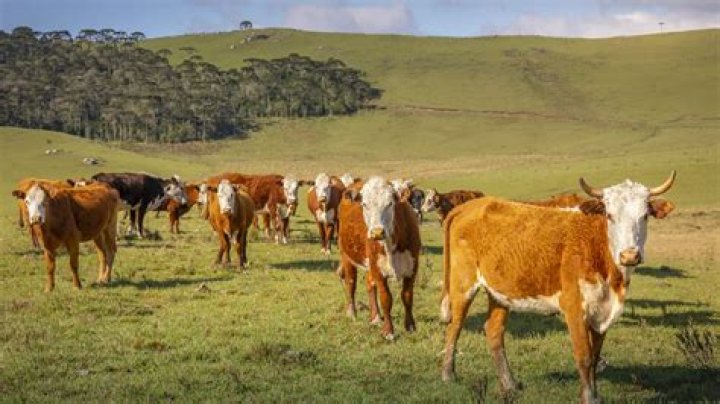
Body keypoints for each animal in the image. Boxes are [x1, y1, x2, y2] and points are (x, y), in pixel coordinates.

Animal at [337, 176, 422, 340]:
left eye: (390, 203)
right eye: (364, 204)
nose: (376, 232)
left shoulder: (412, 267)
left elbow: (407, 296)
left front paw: (410, 326)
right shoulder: (378, 269)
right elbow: (386, 299)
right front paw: (388, 331)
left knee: (370, 284)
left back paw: (375, 317)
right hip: (346, 255)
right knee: (351, 282)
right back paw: (352, 312)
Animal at [439, 172, 676, 403]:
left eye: (644, 216)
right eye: (609, 215)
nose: (629, 255)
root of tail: (468, 206)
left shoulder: (602, 311)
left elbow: (595, 356)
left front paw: (594, 395)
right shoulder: (574, 308)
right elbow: (584, 357)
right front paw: (588, 398)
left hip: (500, 292)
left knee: (494, 331)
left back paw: (510, 384)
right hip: (463, 283)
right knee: (455, 326)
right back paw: (448, 375)